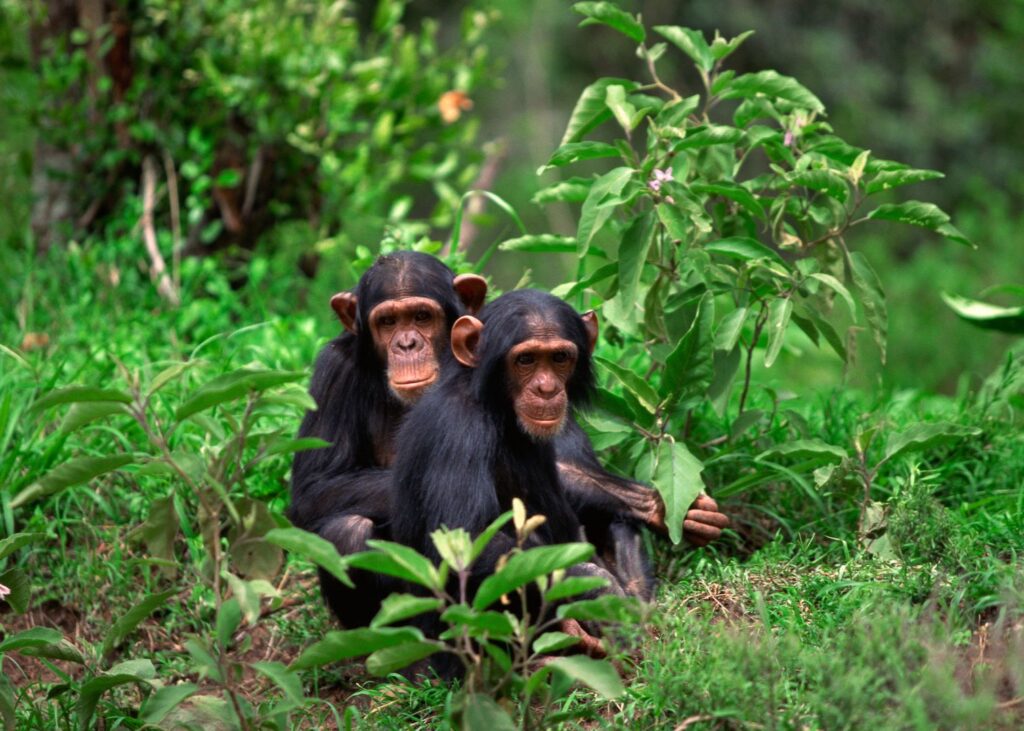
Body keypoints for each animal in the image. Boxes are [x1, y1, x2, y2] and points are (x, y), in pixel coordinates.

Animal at [288, 247, 487, 622]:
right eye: (388, 322)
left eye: (422, 316)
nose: (407, 344)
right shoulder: (332, 372)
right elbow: (315, 486)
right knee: (346, 533)